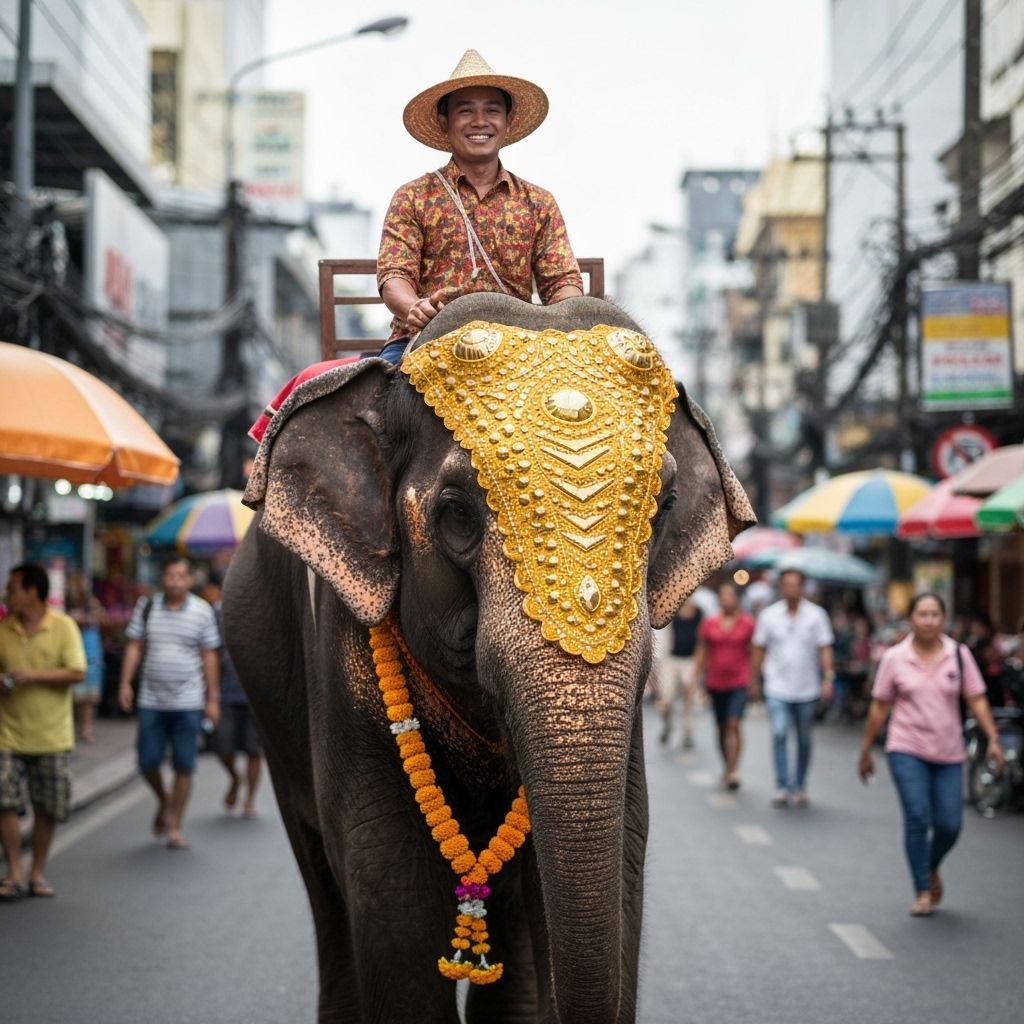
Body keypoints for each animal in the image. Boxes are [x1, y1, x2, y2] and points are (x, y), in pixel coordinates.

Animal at [222, 292, 754, 1024]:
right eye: (456, 514)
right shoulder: (343, 642)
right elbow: (389, 886)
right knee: (324, 883)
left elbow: (620, 853)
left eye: (665, 504)